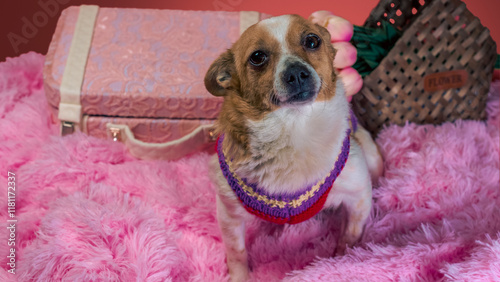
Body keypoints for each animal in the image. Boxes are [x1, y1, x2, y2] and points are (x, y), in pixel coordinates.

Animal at [203, 13, 382, 282]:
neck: (294, 127)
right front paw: (239, 277)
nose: (297, 73)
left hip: (370, 157)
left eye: (312, 41)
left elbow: (350, 234)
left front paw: (342, 260)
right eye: (257, 57)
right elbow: (237, 253)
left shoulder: (359, 193)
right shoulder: (229, 213)